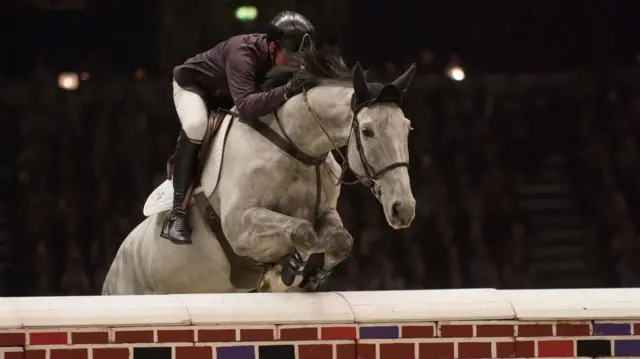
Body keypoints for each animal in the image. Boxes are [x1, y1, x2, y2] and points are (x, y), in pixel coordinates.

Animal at [102, 48, 418, 296]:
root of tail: (116, 264)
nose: (403, 209)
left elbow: (338, 240)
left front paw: (304, 276)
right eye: (367, 131)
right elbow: (303, 232)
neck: (295, 146)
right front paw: (283, 274)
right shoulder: (240, 224)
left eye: (408, 128)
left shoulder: (325, 212)